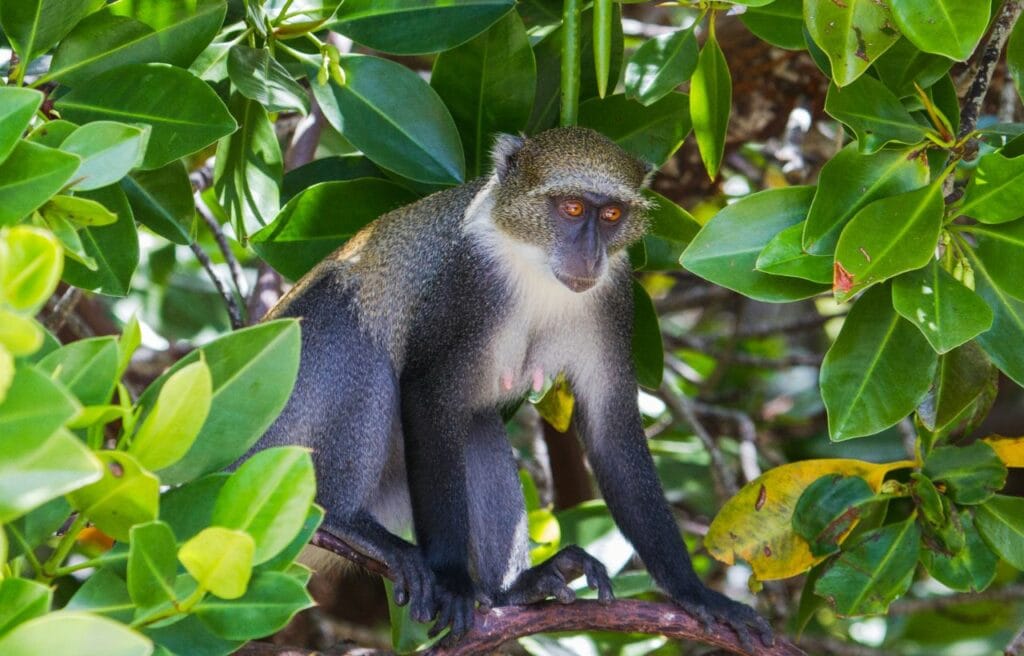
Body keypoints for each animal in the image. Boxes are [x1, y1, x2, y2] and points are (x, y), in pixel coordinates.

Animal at [252, 126, 773, 646]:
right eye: (572, 209)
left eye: (611, 215)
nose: (590, 255)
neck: (534, 261)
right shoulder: (468, 282)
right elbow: (427, 393)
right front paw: (452, 580)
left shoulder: (613, 295)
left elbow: (612, 432)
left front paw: (696, 594)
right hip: (279, 434)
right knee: (360, 339)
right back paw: (345, 520)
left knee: (477, 424)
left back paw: (512, 590)